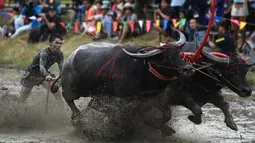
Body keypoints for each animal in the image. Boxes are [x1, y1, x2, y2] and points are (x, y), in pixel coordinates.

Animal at [54, 30, 193, 123]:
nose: (188, 69)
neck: (144, 68)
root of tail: (68, 60)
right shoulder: (125, 100)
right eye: (166, 57)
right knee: (67, 97)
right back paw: (77, 116)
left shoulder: (151, 97)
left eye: (179, 53)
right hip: (73, 89)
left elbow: (167, 114)